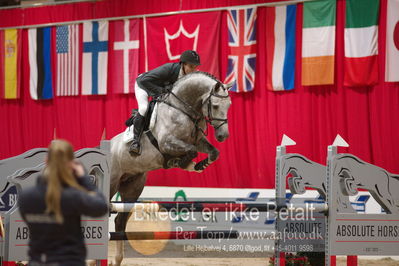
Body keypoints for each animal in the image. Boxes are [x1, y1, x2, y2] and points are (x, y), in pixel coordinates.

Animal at [110, 71, 234, 266]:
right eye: (215, 106)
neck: (184, 110)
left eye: (228, 105)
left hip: (132, 187)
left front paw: (199, 165)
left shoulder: (198, 141)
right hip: (111, 183)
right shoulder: (167, 142)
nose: (223, 136)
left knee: (119, 221)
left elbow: (214, 152)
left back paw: (117, 260)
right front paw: (181, 163)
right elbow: (190, 151)